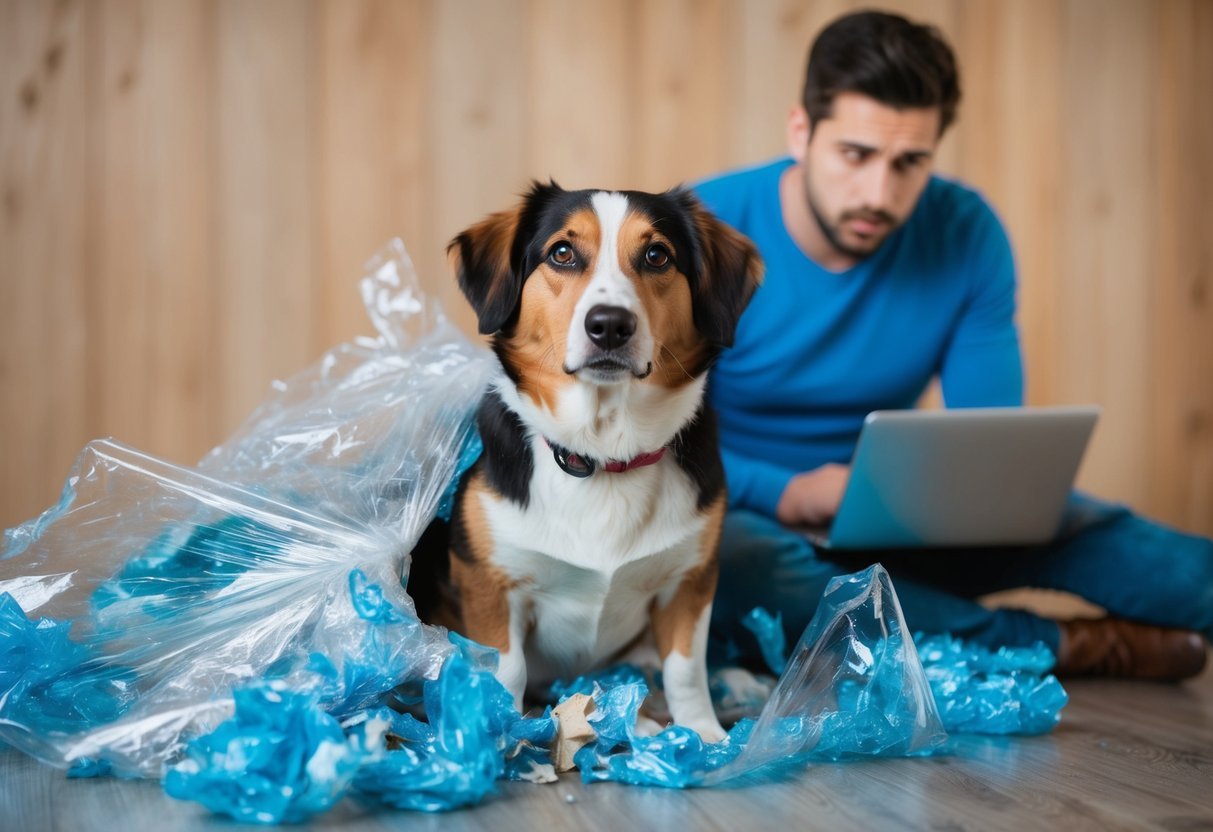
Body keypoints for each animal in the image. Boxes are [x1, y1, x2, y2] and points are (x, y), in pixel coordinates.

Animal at [417, 184, 756, 742]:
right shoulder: (488, 582)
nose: (610, 325)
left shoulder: (690, 581)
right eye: (562, 252)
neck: (601, 454)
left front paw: (703, 737)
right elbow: (508, 670)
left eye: (657, 255)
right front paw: (504, 733)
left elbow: (686, 670)